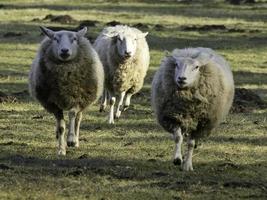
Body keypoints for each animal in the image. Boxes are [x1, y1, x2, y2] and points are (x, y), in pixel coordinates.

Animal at [29, 26, 104, 155]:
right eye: (55, 39)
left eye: (74, 39)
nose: (64, 50)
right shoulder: (53, 103)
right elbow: (61, 127)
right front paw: (61, 149)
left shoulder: (79, 99)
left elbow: (72, 114)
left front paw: (71, 140)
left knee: (78, 119)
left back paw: (75, 141)